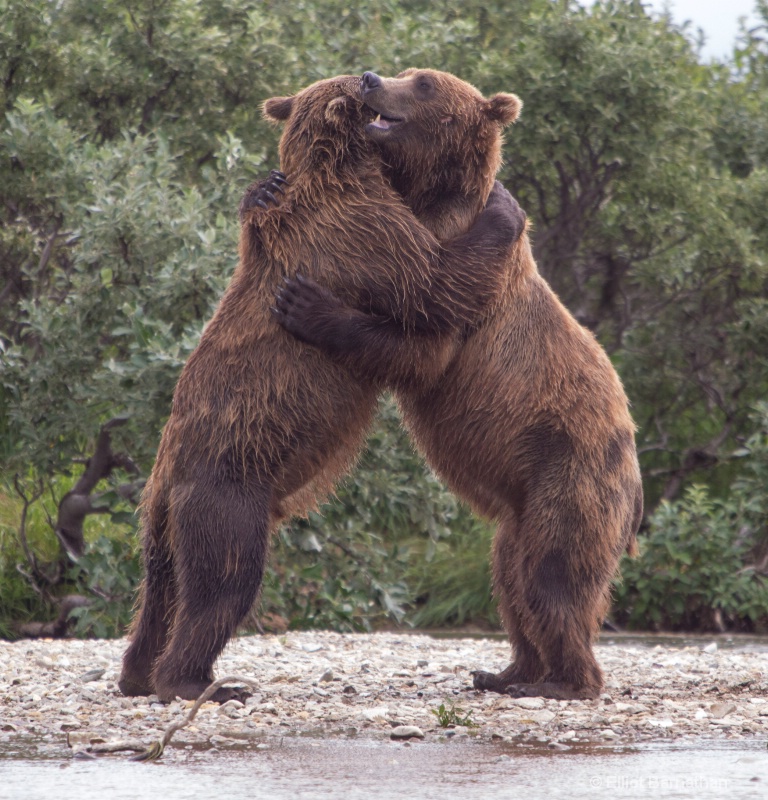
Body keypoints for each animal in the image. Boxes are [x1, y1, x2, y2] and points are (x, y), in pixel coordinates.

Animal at [118, 73, 528, 700]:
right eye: (361, 83)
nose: (370, 74)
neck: (337, 170)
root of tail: (167, 483)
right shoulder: (364, 231)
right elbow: (433, 282)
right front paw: (501, 210)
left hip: (160, 516)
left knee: (159, 588)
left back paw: (138, 674)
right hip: (227, 491)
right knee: (224, 582)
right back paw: (197, 681)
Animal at [272, 72, 644, 704]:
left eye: (422, 84)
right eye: (408, 72)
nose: (372, 77)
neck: (431, 199)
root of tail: (638, 482)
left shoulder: (460, 280)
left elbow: (422, 343)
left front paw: (307, 304)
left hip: (571, 474)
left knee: (553, 576)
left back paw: (562, 682)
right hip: (521, 511)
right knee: (510, 581)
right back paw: (506, 671)